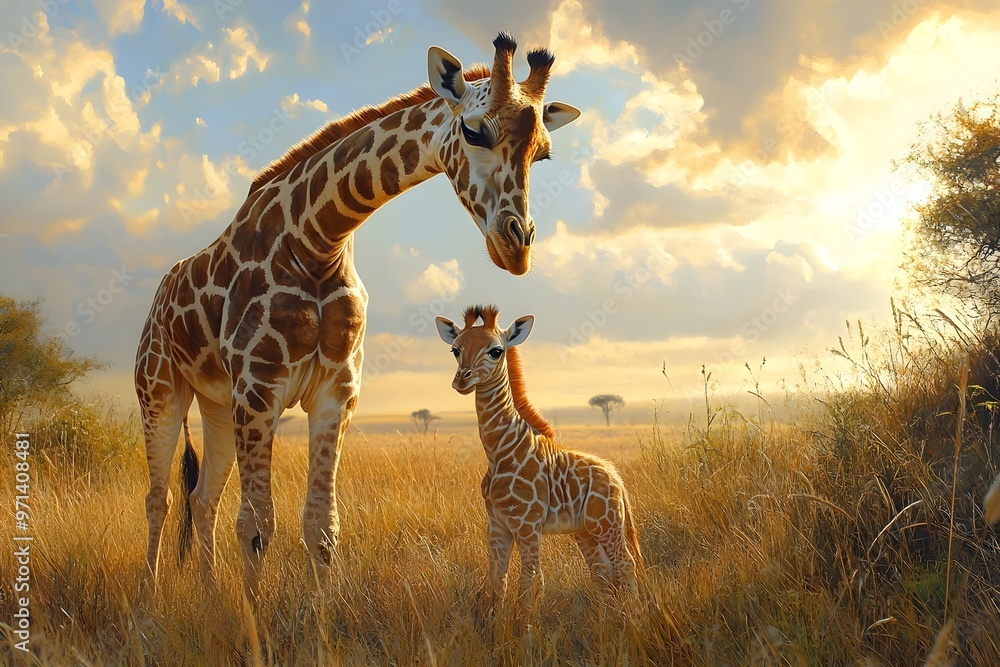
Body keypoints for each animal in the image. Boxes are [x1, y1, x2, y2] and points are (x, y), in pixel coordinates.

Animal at [134, 32, 580, 599]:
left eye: (542, 153)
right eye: (472, 130)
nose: (516, 248)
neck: (317, 239)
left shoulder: (335, 393)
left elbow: (321, 526)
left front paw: (314, 617)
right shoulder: (259, 388)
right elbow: (257, 527)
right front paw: (252, 620)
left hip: (215, 404)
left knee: (202, 497)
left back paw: (212, 594)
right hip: (160, 391)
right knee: (160, 498)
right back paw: (149, 593)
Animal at [435, 305, 642, 606]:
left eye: (496, 351)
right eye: (455, 350)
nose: (463, 379)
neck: (500, 452)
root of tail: (615, 474)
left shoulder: (527, 524)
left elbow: (530, 580)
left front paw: (525, 621)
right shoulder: (497, 524)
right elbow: (497, 580)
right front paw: (497, 619)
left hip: (606, 522)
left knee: (625, 563)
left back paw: (632, 613)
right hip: (584, 530)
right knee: (602, 569)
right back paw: (609, 611)